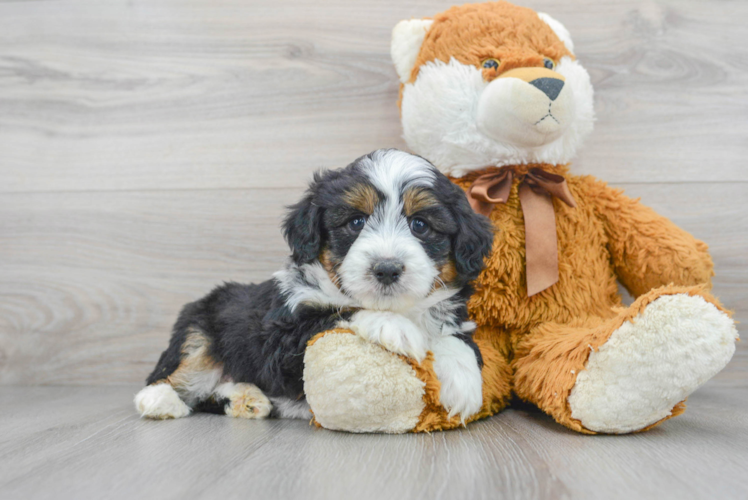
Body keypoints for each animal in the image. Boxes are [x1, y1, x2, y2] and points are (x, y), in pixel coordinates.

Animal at [134, 148, 496, 422]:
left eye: (420, 224)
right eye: (356, 222)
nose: (387, 269)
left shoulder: (454, 315)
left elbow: (456, 337)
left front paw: (464, 384)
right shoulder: (281, 338)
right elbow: (337, 312)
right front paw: (395, 327)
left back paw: (247, 398)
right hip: (199, 329)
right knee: (179, 372)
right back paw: (159, 400)